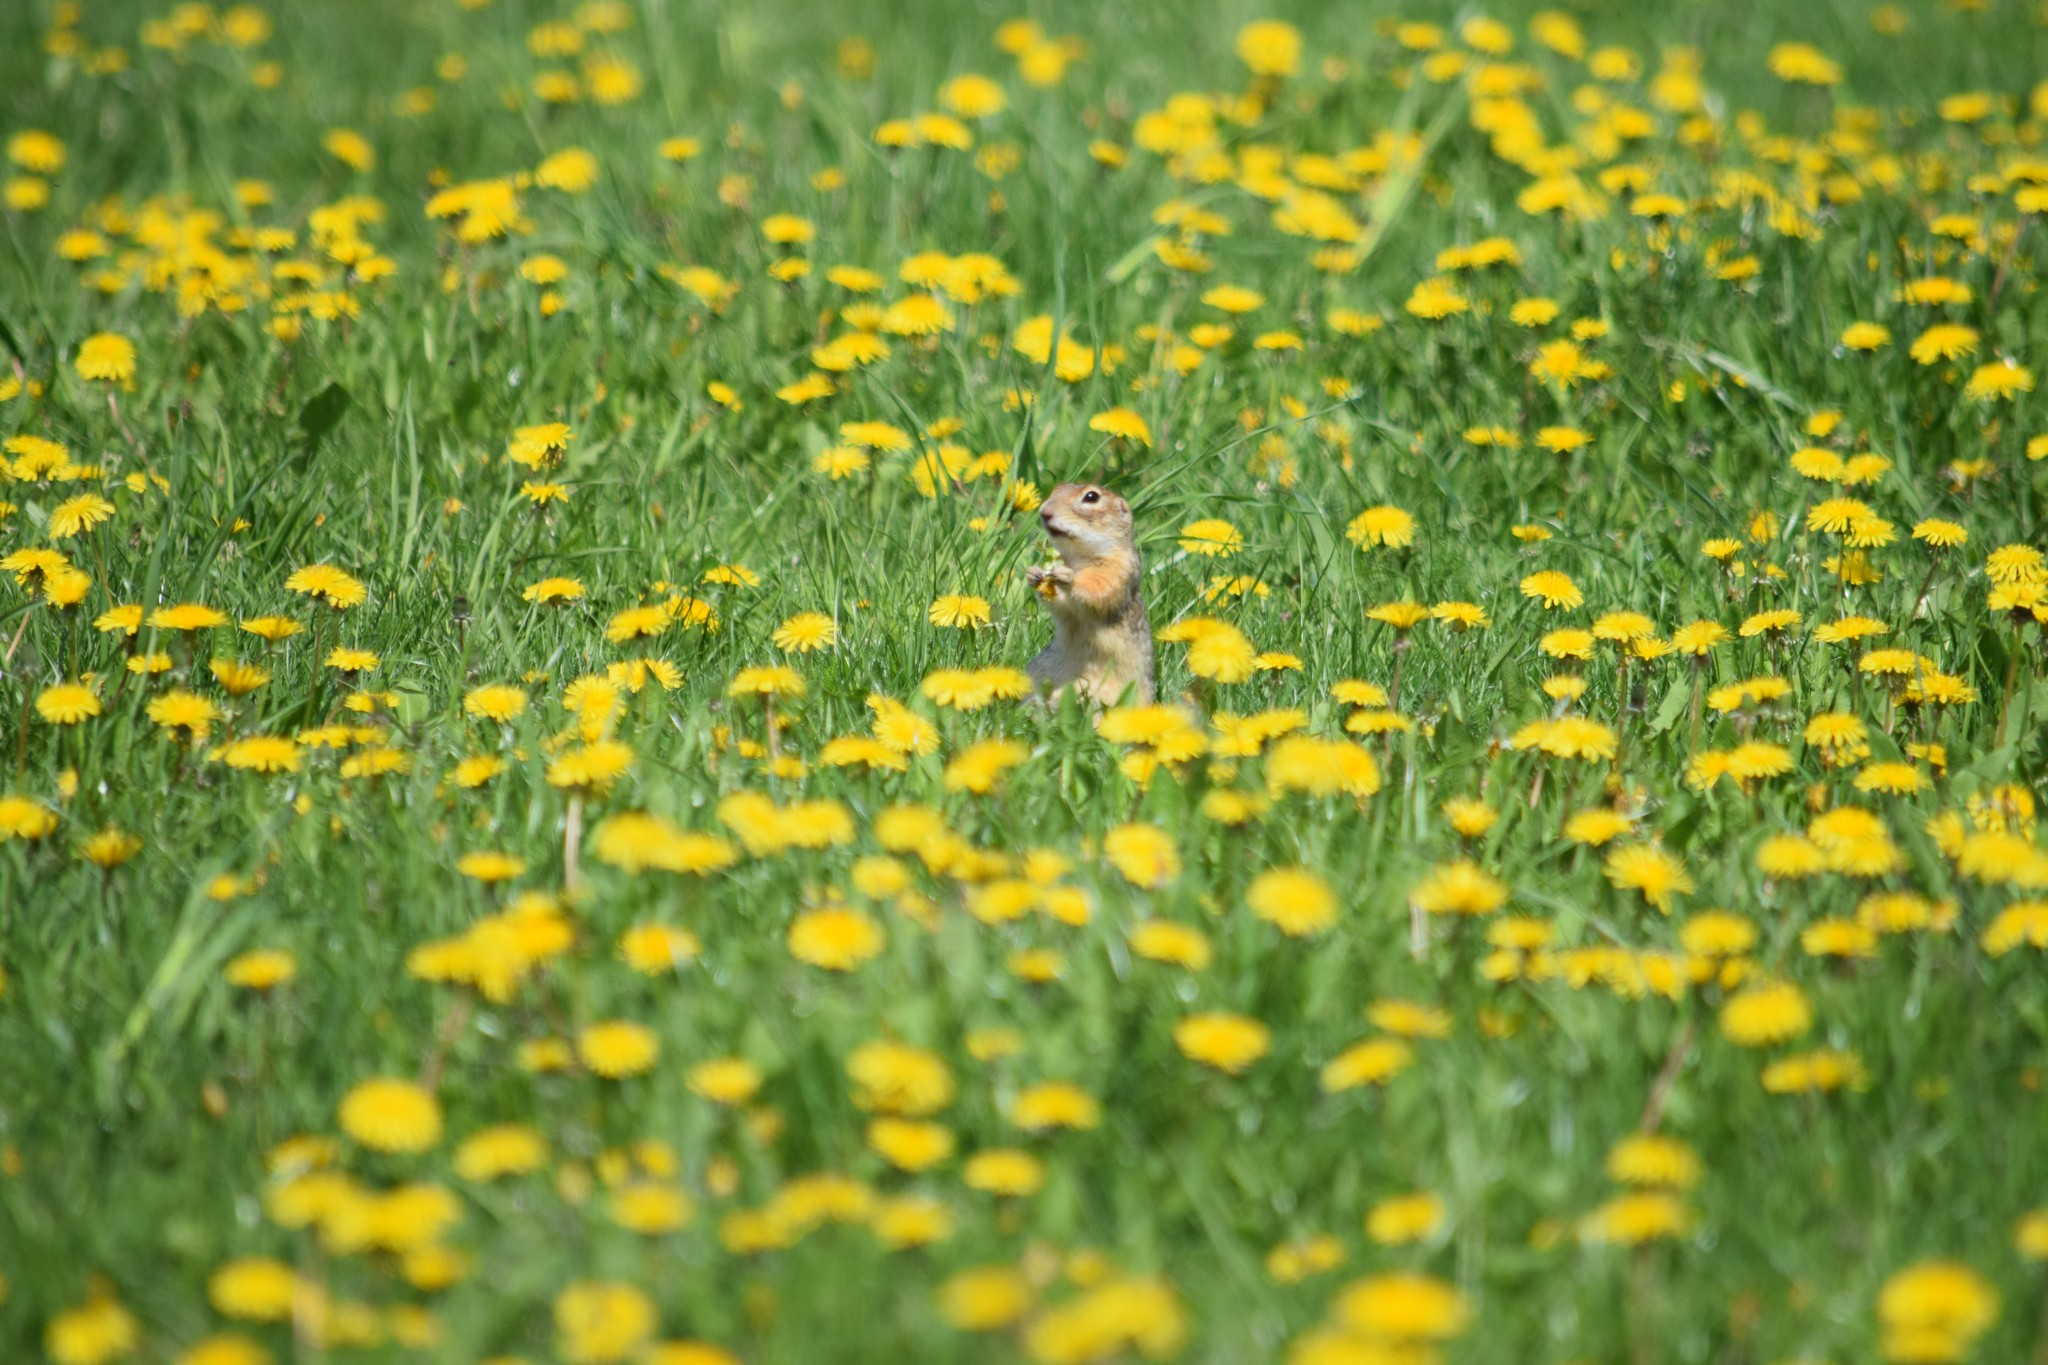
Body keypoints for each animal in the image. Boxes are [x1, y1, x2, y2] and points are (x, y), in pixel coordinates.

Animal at [1024, 482, 1155, 703]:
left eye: (1091, 496)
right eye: (1057, 488)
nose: (1044, 512)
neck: (1079, 557)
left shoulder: (1119, 569)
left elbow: (1098, 591)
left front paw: (1068, 577)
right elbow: (1062, 606)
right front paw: (1034, 574)